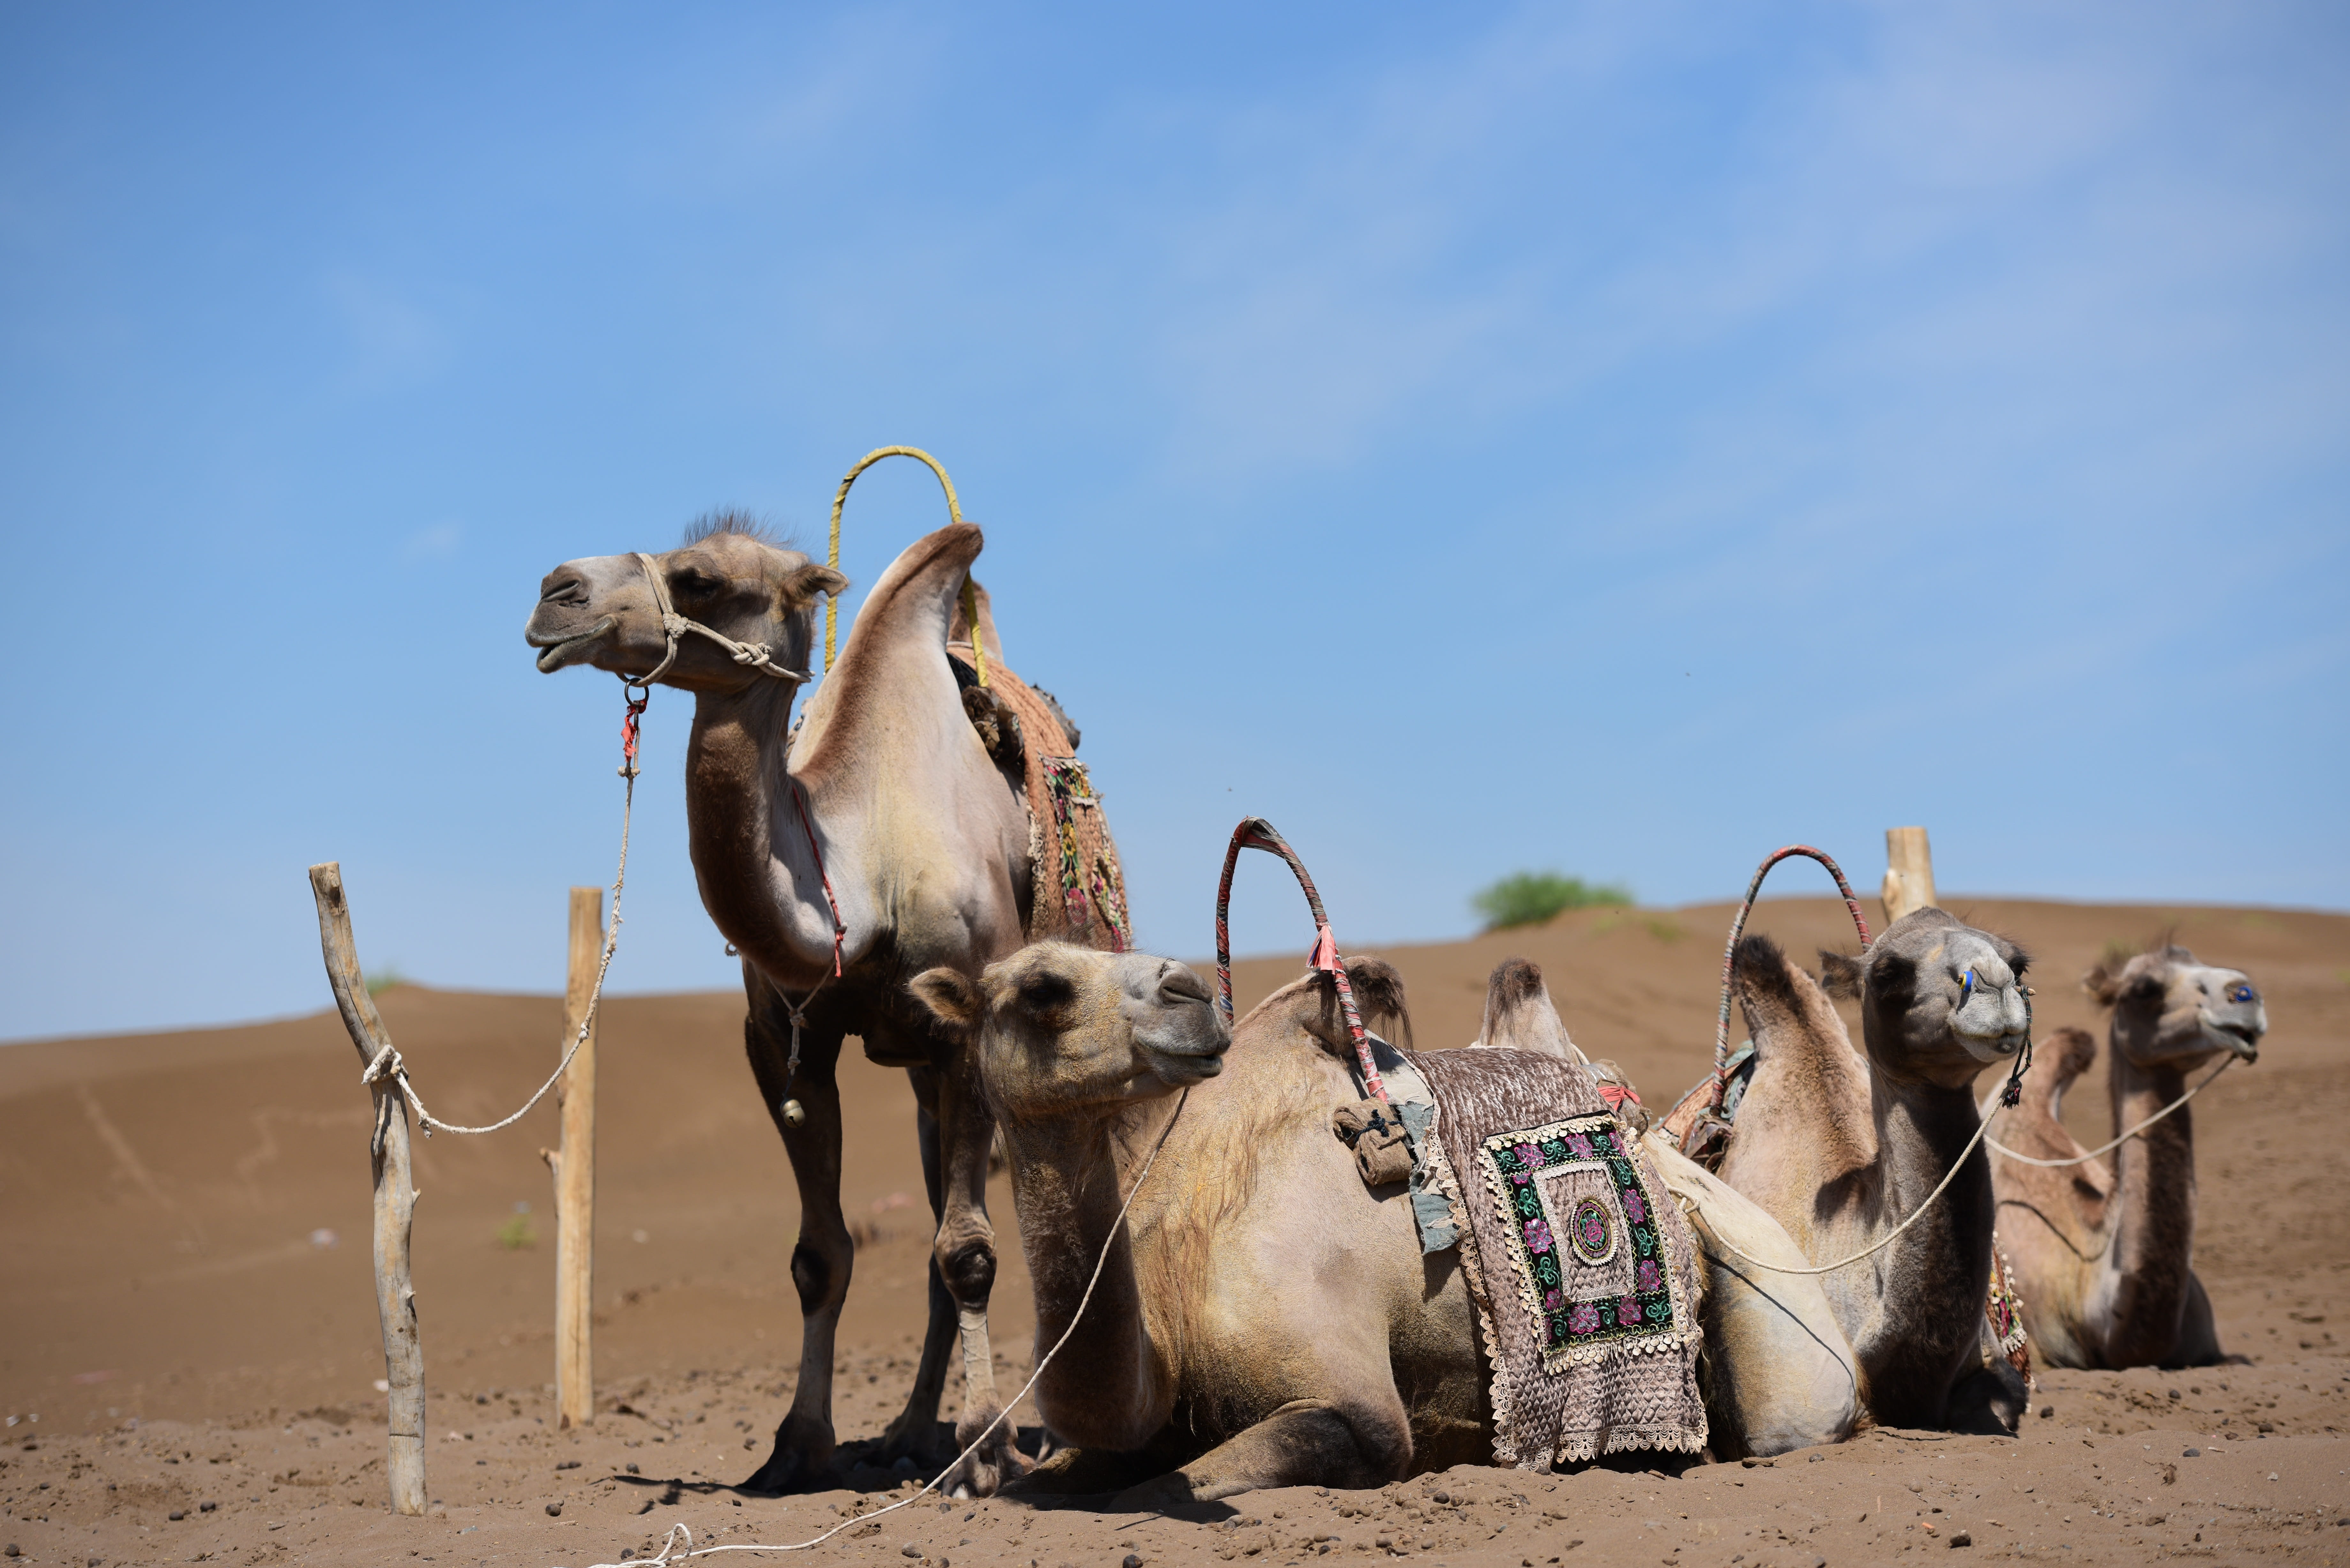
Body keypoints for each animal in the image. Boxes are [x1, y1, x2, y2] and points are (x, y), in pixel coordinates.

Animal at [525, 515, 1085, 1494]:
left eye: (699, 578)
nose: (555, 593)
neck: (861, 876)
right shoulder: (785, 1044)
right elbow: (822, 1256)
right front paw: (796, 1446)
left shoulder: (968, 1033)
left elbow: (971, 1252)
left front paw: (986, 1447)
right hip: (921, 1083)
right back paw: (909, 1432)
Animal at [907, 944, 1858, 1505]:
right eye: (1041, 987)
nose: (1188, 991)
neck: (1180, 1281)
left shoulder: (1354, 1408)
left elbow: (1177, 1488)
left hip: (1789, 1358)